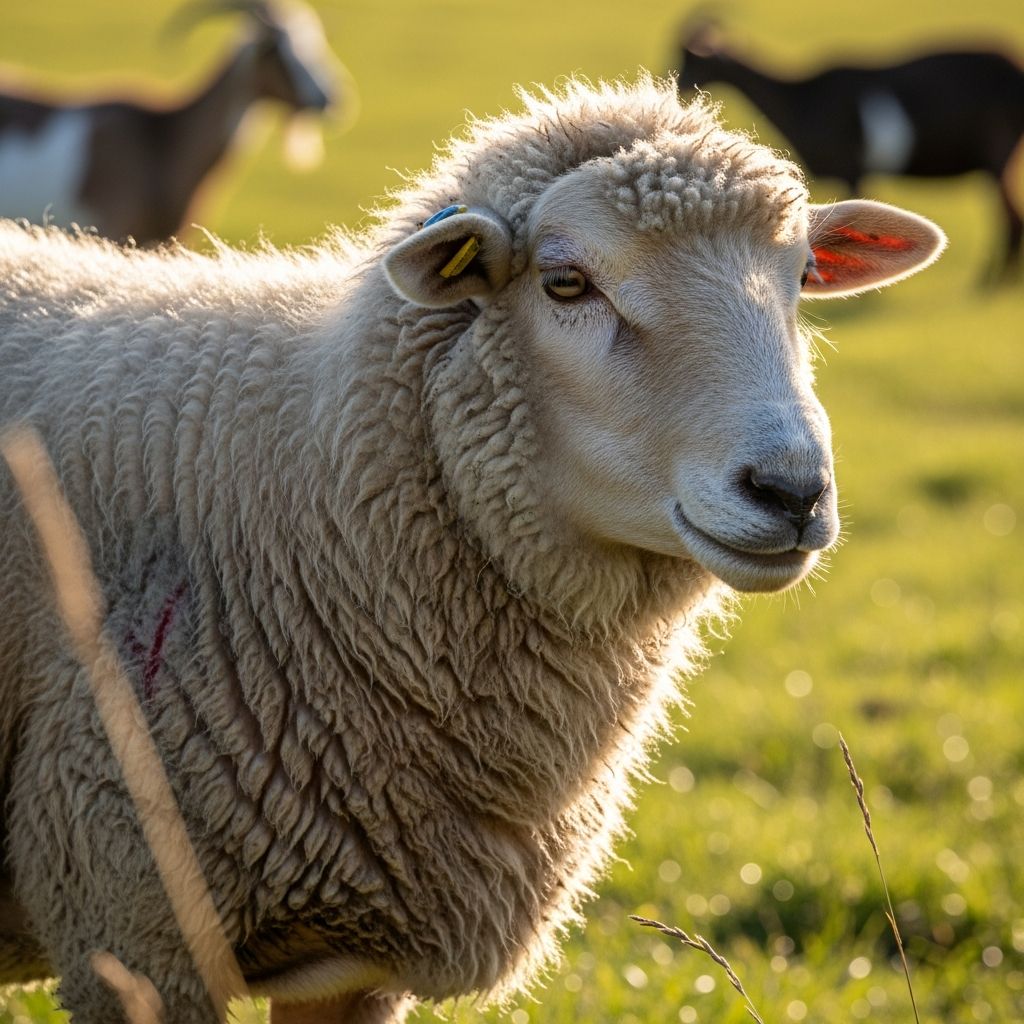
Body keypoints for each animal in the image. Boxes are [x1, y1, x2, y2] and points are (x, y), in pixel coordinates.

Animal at [675, 17, 1024, 280]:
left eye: (694, 59)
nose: (679, 85)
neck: (799, 99)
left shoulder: (852, 170)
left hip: (1000, 147)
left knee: (1009, 217)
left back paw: (988, 282)